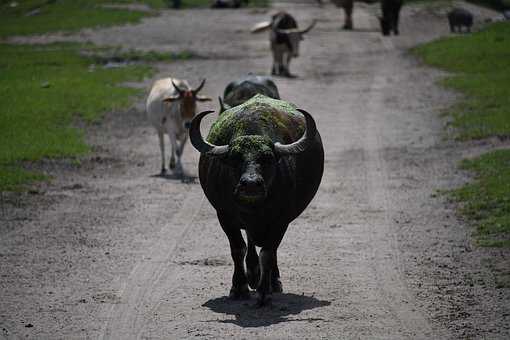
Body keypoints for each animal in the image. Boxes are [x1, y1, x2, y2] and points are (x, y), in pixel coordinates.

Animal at [189, 93, 324, 306]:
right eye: (234, 159)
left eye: (268, 158)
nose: (251, 184)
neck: (255, 209)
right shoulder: (225, 216)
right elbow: (238, 248)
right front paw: (239, 288)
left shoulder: (280, 220)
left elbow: (268, 253)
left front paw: (264, 291)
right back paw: (253, 274)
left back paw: (272, 281)